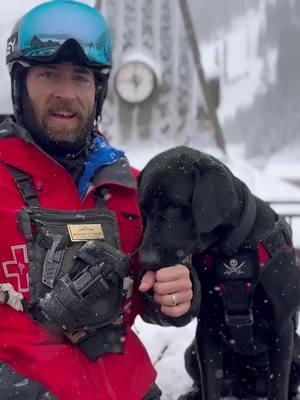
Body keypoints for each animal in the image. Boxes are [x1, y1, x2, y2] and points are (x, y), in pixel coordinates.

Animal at [138, 147, 300, 400]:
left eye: (174, 206)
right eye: (143, 209)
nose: (145, 260)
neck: (230, 249)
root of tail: (246, 389)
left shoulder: (281, 330)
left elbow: (279, 387)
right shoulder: (207, 328)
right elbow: (210, 383)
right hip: (190, 352)